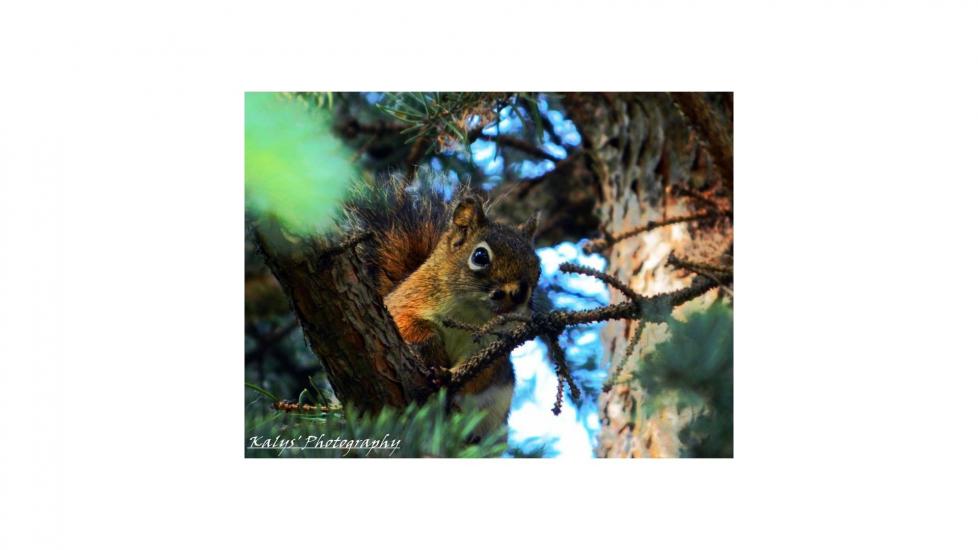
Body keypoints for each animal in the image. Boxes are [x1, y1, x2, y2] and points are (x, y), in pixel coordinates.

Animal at [347, 177, 541, 438]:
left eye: (537, 267)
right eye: (480, 256)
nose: (518, 294)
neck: (470, 313)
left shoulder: (492, 345)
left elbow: (481, 373)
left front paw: (449, 380)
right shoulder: (403, 303)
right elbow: (406, 324)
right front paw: (429, 348)